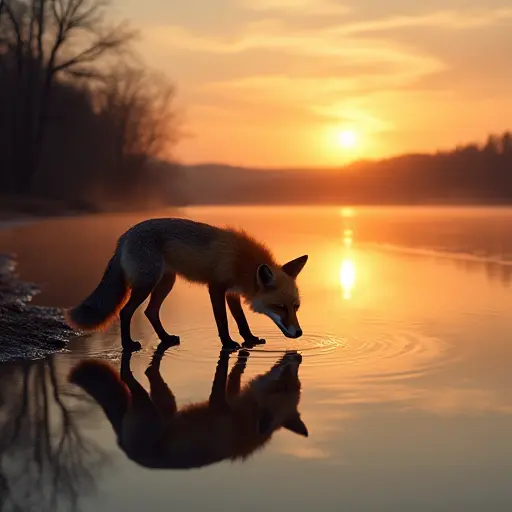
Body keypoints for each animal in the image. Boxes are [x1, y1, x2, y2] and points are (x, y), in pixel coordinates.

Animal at [65, 216, 308, 352]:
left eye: (295, 307)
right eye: (280, 307)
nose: (299, 333)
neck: (241, 262)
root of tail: (124, 236)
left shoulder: (232, 293)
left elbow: (241, 321)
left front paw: (249, 339)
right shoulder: (216, 287)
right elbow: (222, 321)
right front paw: (228, 343)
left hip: (166, 283)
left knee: (151, 312)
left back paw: (165, 338)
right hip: (146, 284)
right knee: (125, 312)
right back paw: (128, 344)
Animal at [68, 342, 308, 470]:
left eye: (296, 384)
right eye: (283, 384)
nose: (298, 358)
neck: (244, 419)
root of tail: (124, 446)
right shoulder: (220, 404)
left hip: (163, 403)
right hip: (150, 409)